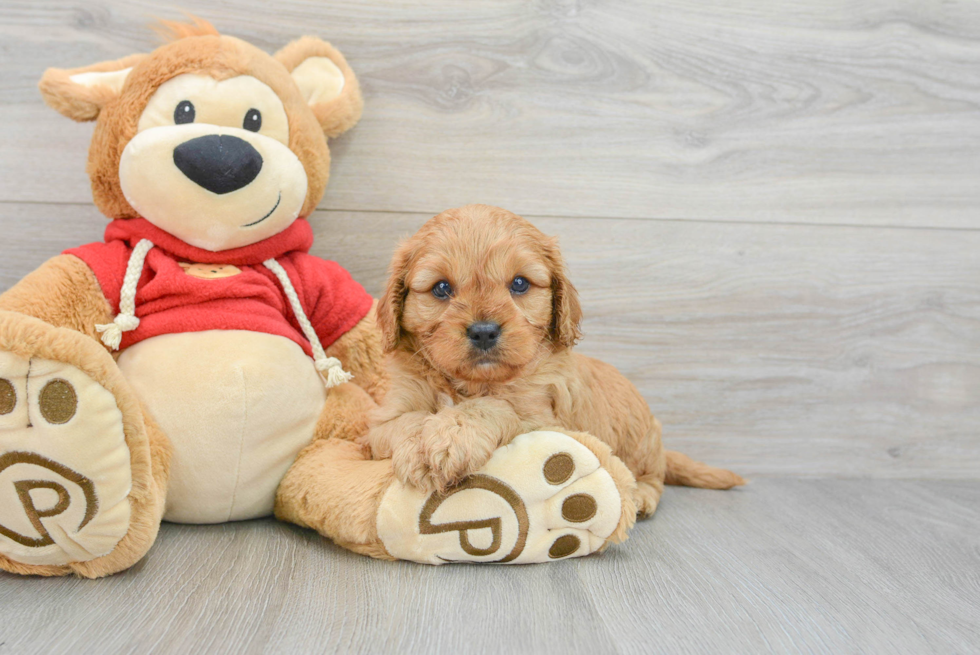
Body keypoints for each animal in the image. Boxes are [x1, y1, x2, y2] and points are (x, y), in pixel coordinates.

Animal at [366, 205, 744, 516]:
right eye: (441, 288)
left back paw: (640, 497)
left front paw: (451, 436)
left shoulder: (548, 425)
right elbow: (406, 421)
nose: (484, 332)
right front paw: (419, 448)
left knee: (654, 478)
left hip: (643, 444)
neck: (473, 383)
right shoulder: (380, 423)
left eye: (520, 284)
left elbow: (495, 408)